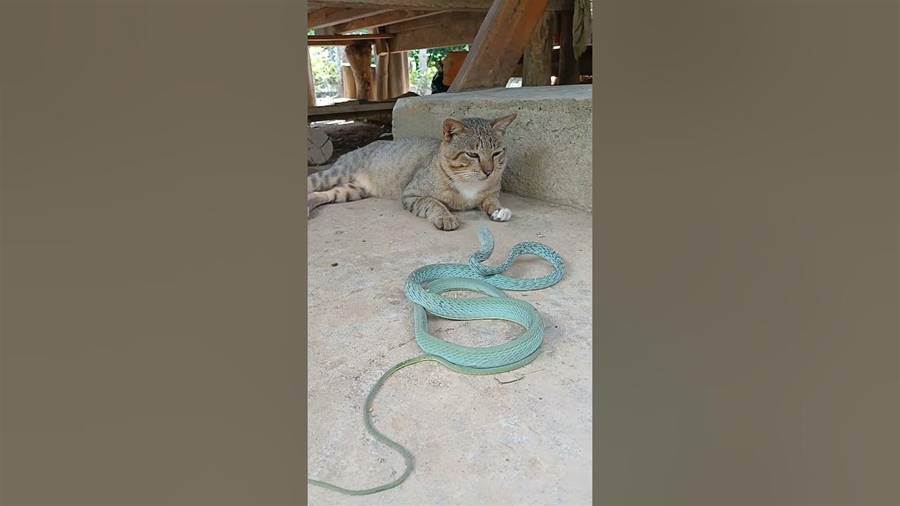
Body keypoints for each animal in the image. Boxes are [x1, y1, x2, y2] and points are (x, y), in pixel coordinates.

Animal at [307, 113, 517, 231]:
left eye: (497, 153)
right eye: (472, 154)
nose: (489, 171)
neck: (469, 183)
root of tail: (357, 149)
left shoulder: (490, 194)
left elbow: (491, 201)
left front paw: (499, 210)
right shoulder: (411, 194)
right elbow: (433, 203)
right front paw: (445, 216)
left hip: (353, 191)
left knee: (325, 194)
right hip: (334, 174)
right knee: (312, 183)